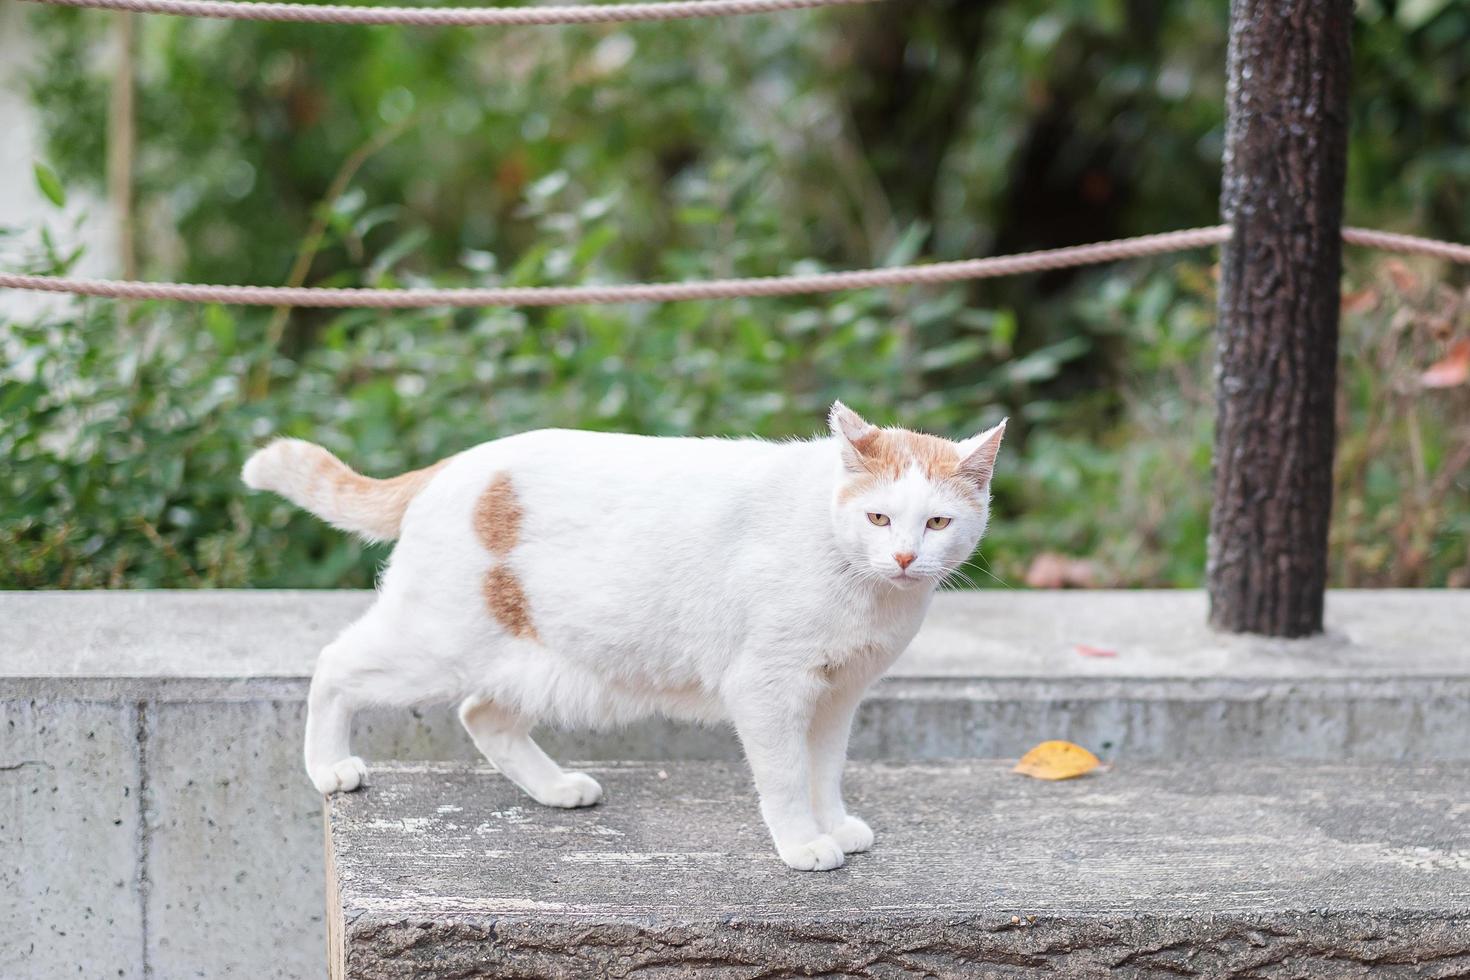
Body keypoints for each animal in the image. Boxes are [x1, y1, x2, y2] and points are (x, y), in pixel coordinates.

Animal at [244, 402, 999, 869]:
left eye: (936, 523)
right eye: (878, 517)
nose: (904, 557)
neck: (864, 587)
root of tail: (457, 463)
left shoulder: (838, 695)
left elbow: (826, 770)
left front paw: (833, 824)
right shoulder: (768, 689)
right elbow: (786, 777)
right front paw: (803, 844)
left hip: (537, 662)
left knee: (483, 715)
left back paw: (555, 789)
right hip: (431, 644)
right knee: (334, 664)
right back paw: (328, 767)